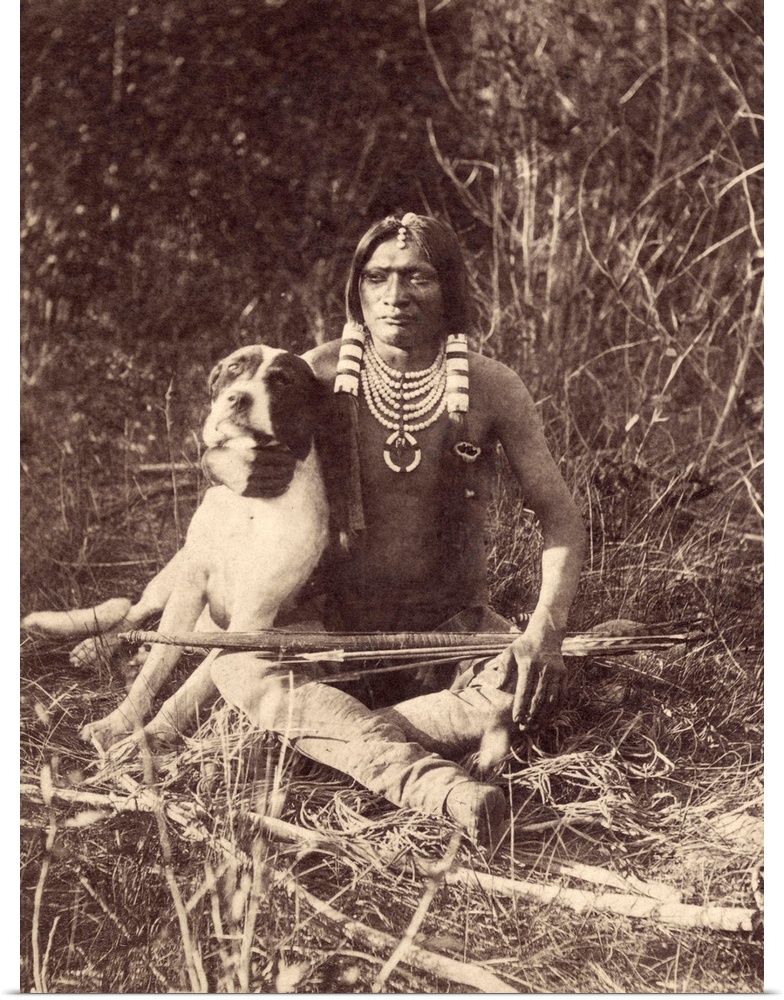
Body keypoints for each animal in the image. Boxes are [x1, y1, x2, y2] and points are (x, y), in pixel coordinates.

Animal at [21, 348, 328, 748]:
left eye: (282, 380)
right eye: (234, 367)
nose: (238, 398)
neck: (249, 502)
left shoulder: (249, 624)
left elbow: (185, 692)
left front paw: (147, 738)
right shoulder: (188, 591)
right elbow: (155, 671)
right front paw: (118, 721)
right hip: (170, 578)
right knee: (134, 613)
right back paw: (96, 647)